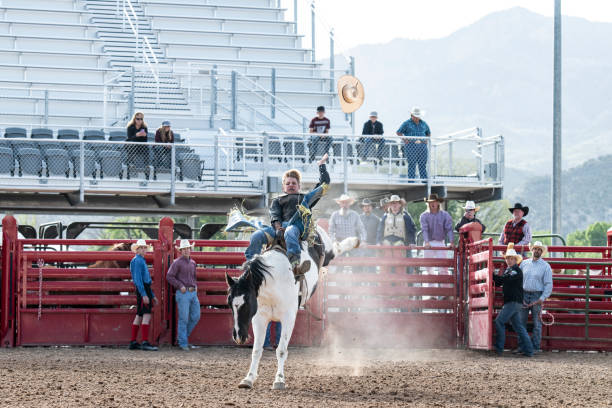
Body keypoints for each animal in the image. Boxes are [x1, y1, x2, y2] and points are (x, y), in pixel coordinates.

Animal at [226, 225, 358, 390]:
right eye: (229, 303)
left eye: (247, 302)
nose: (238, 336)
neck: (273, 282)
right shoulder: (259, 319)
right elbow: (256, 350)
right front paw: (248, 378)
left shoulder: (288, 318)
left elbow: (281, 350)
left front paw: (279, 380)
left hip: (328, 252)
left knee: (337, 247)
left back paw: (354, 241)